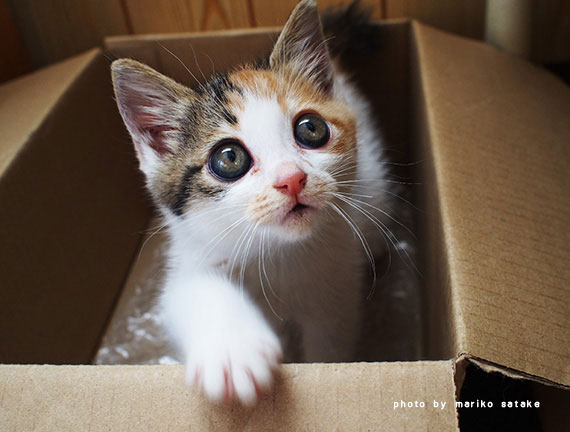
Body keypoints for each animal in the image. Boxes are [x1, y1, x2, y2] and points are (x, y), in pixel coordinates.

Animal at [110, 0, 386, 404]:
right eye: (229, 158)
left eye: (311, 129)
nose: (291, 178)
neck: (276, 253)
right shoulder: (190, 257)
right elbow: (191, 290)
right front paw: (232, 351)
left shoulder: (335, 292)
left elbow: (330, 342)